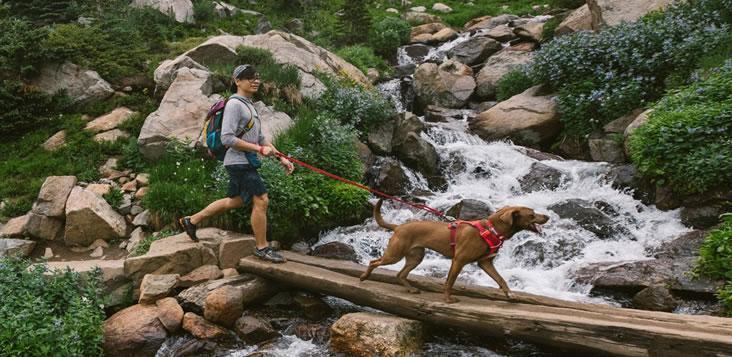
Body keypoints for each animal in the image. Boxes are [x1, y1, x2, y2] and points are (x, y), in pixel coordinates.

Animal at [360, 199, 548, 302]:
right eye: (532, 214)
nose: (547, 216)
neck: (492, 229)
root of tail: (398, 226)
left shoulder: (485, 263)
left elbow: (501, 279)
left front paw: (510, 295)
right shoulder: (459, 261)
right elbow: (450, 282)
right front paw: (448, 300)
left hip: (416, 256)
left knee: (400, 274)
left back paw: (411, 289)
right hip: (394, 254)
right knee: (374, 261)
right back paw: (364, 276)